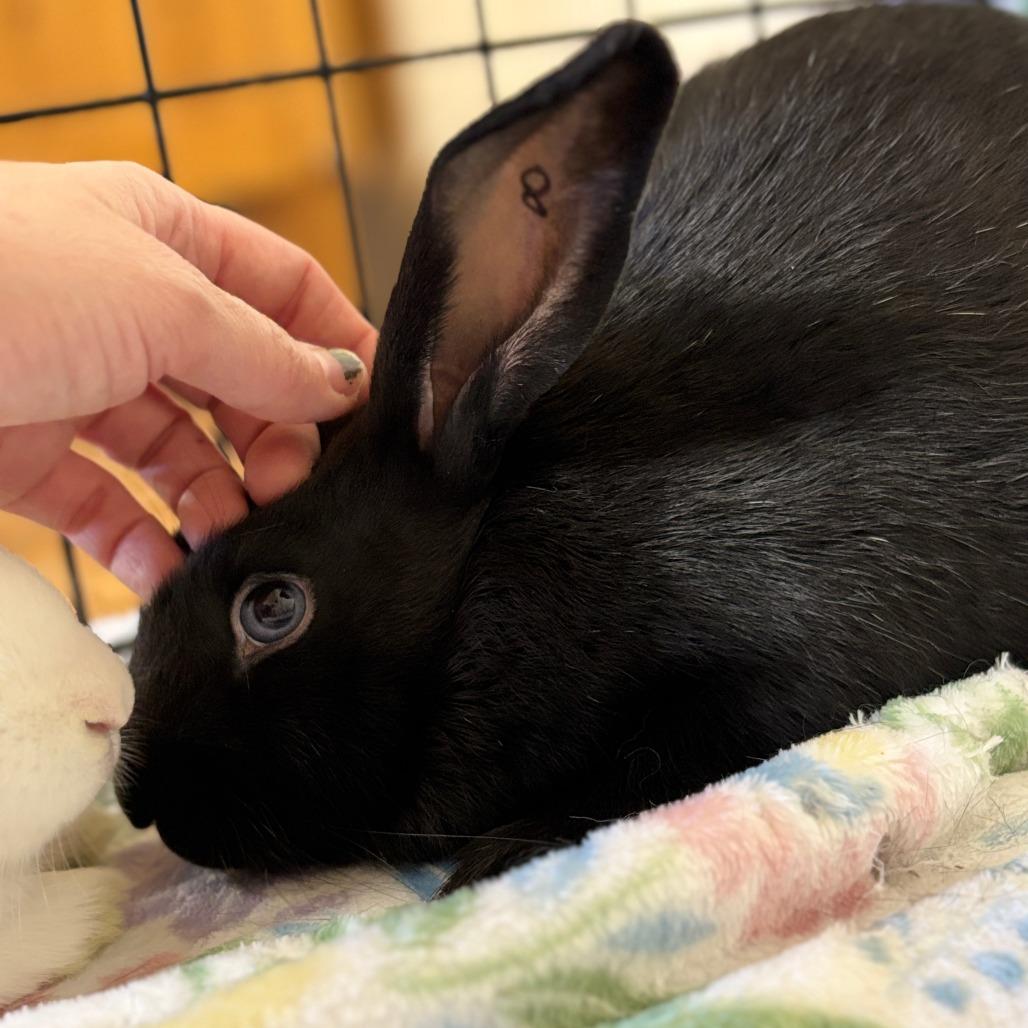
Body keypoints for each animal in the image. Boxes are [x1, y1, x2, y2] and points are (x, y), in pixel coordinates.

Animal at [118, 4, 1028, 892]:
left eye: (273, 608)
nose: (138, 800)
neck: (493, 554)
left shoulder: (786, 649)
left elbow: (664, 759)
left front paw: (505, 852)